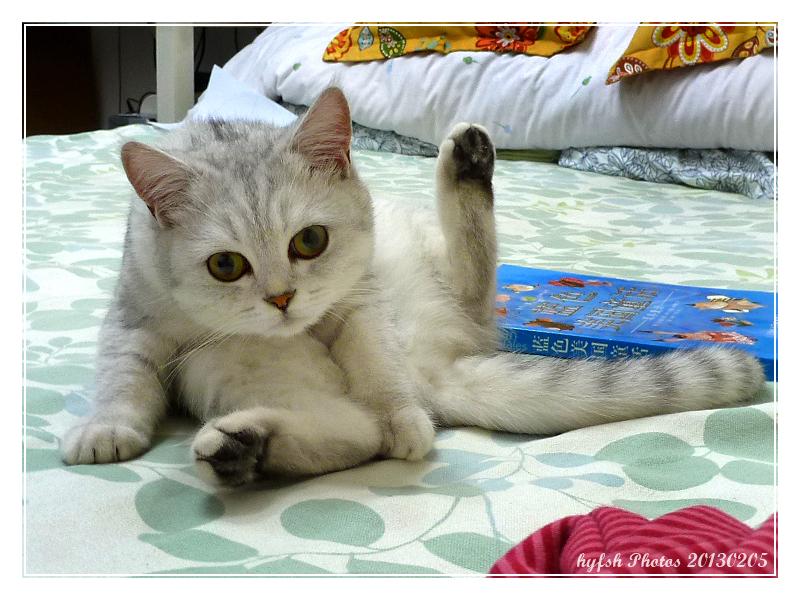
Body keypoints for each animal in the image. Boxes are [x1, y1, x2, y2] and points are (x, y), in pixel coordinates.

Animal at [61, 87, 765, 486]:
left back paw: (468, 162)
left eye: (309, 241)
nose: (283, 300)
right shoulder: (134, 318)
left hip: (425, 269)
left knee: (472, 289)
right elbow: (123, 377)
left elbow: (377, 366)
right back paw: (244, 449)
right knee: (351, 433)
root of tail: (440, 368)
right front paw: (107, 428)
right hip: (229, 364)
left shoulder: (361, 300)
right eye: (226, 267)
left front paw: (402, 418)